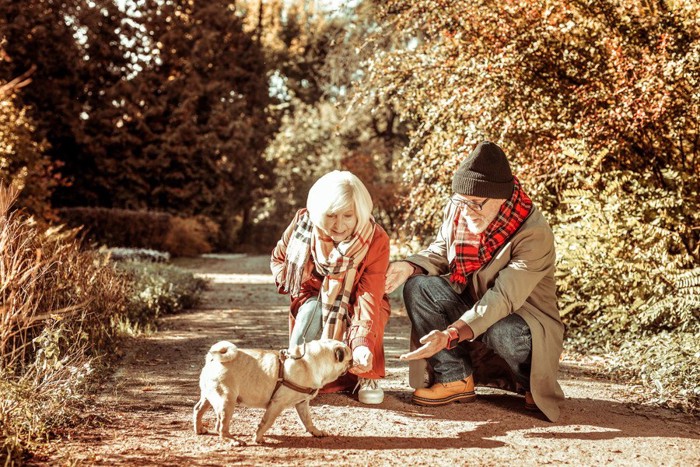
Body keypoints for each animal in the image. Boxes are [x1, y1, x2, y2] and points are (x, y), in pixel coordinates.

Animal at [193, 338, 352, 444]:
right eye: (349, 359)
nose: (352, 362)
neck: (312, 362)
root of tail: (213, 359)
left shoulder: (302, 403)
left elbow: (308, 420)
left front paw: (315, 432)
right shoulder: (277, 404)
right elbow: (266, 422)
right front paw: (257, 438)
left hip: (209, 397)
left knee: (198, 410)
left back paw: (199, 429)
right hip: (226, 401)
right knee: (221, 426)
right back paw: (233, 440)